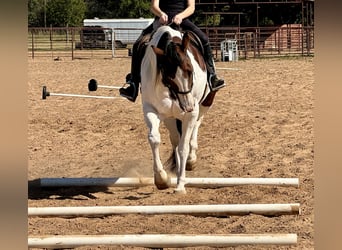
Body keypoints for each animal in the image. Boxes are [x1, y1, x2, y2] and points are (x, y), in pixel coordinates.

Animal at [140, 24, 218, 193]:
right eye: (169, 78)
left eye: (190, 70)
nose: (188, 106)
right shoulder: (151, 109)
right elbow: (155, 139)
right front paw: (161, 178)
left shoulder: (192, 114)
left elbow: (183, 147)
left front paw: (181, 184)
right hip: (170, 117)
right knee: (175, 139)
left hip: (204, 105)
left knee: (195, 128)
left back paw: (190, 160)